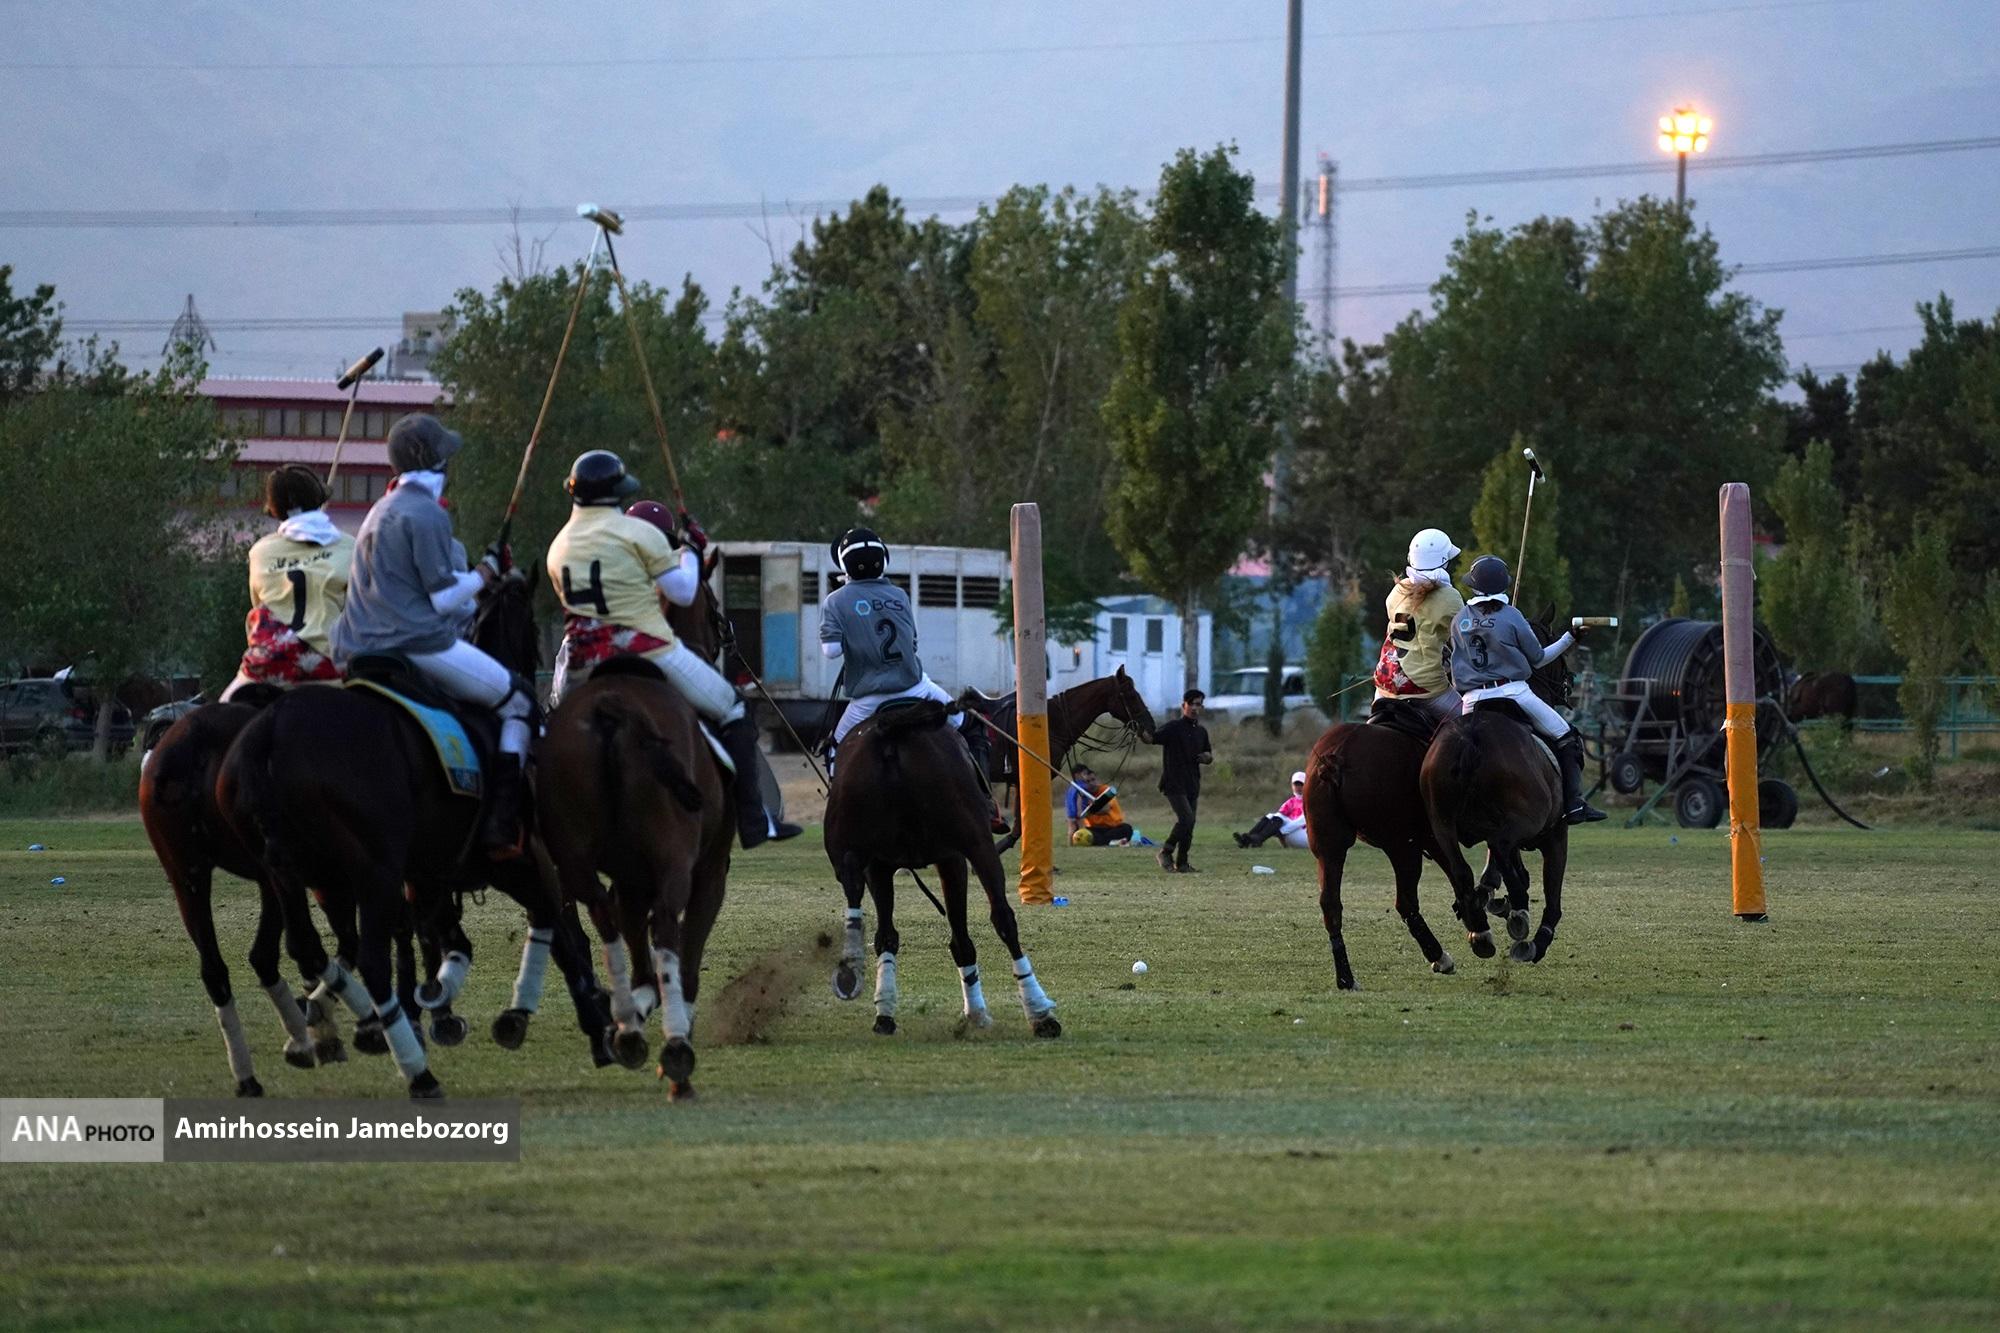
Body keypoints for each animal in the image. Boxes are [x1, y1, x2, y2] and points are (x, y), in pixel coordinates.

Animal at [218, 573, 612, 1098]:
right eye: (530, 627)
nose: (548, 692)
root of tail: (270, 733)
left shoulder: (434, 872)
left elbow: (442, 934)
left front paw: (442, 1003)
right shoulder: (514, 858)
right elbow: (555, 929)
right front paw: (592, 1023)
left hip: (289, 873)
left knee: (309, 945)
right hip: (374, 869)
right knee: (371, 957)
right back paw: (413, 1065)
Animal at [537, 547, 735, 1101]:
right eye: (712, 605)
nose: (723, 637)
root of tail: (615, 704)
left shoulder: (629, 877)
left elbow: (632, 938)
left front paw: (637, 1010)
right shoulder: (709, 870)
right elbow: (685, 949)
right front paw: (674, 1023)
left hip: (574, 853)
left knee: (597, 916)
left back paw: (622, 1026)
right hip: (674, 853)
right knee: (665, 923)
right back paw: (673, 1050)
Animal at [824, 699, 1062, 1039]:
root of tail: (890, 730)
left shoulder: (881, 866)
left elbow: (890, 935)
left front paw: (885, 1012)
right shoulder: (953, 857)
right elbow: (963, 939)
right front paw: (977, 1013)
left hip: (855, 845)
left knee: (856, 888)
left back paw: (853, 975)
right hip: (978, 844)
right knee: (1004, 919)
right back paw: (1040, 1013)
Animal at [1418, 620, 1579, 966]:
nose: (1568, 684)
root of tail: (1470, 738)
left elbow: (1499, 868)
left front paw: (1492, 897)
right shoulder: (1555, 833)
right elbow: (1552, 896)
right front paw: (1536, 940)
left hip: (1441, 825)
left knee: (1462, 870)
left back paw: (1480, 927)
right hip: (1527, 820)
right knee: (1499, 845)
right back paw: (1517, 913)